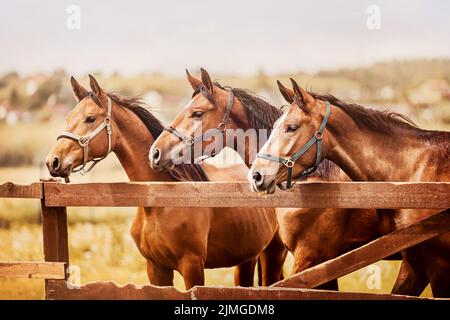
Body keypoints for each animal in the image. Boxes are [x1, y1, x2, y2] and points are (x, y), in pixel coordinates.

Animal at [45, 75, 284, 290]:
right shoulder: (156, 268)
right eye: (69, 117)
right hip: (247, 258)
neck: (160, 201)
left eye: (90, 118)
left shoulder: (192, 265)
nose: (53, 161)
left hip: (273, 253)